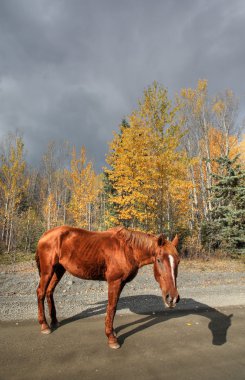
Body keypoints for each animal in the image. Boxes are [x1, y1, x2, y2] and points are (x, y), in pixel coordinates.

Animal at [35, 227, 180, 348]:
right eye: (159, 260)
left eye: (178, 261)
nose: (172, 298)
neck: (127, 250)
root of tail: (45, 235)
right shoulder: (114, 282)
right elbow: (111, 307)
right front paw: (111, 338)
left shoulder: (121, 283)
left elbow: (113, 308)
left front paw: (113, 332)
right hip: (48, 270)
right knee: (41, 292)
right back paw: (44, 325)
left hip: (59, 270)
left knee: (49, 291)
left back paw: (54, 321)